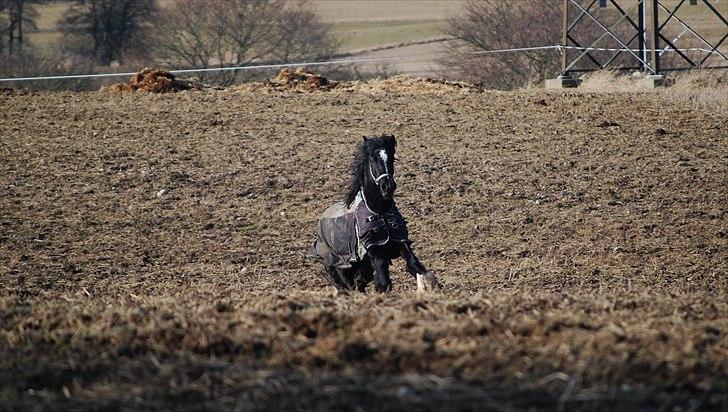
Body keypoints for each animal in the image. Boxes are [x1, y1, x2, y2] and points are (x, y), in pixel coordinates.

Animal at [308, 134, 438, 292]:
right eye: (372, 159)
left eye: (392, 157)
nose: (388, 187)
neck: (379, 211)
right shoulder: (374, 248)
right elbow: (382, 278)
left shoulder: (400, 242)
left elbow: (415, 264)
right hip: (342, 267)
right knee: (350, 287)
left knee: (359, 284)